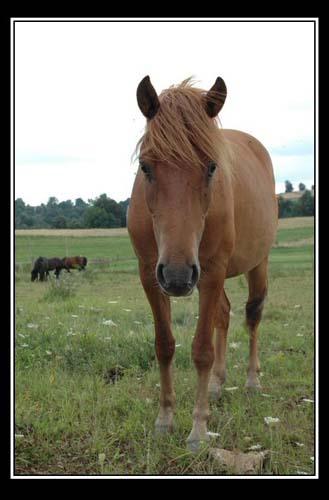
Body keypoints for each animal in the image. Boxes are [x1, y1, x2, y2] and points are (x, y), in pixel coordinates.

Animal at [127, 76, 278, 452]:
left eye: (211, 167)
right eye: (146, 166)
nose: (178, 276)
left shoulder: (210, 273)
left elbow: (201, 351)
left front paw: (197, 429)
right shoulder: (149, 274)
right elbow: (164, 345)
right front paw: (165, 419)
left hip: (256, 263)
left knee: (253, 315)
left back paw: (251, 381)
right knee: (224, 314)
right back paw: (217, 384)